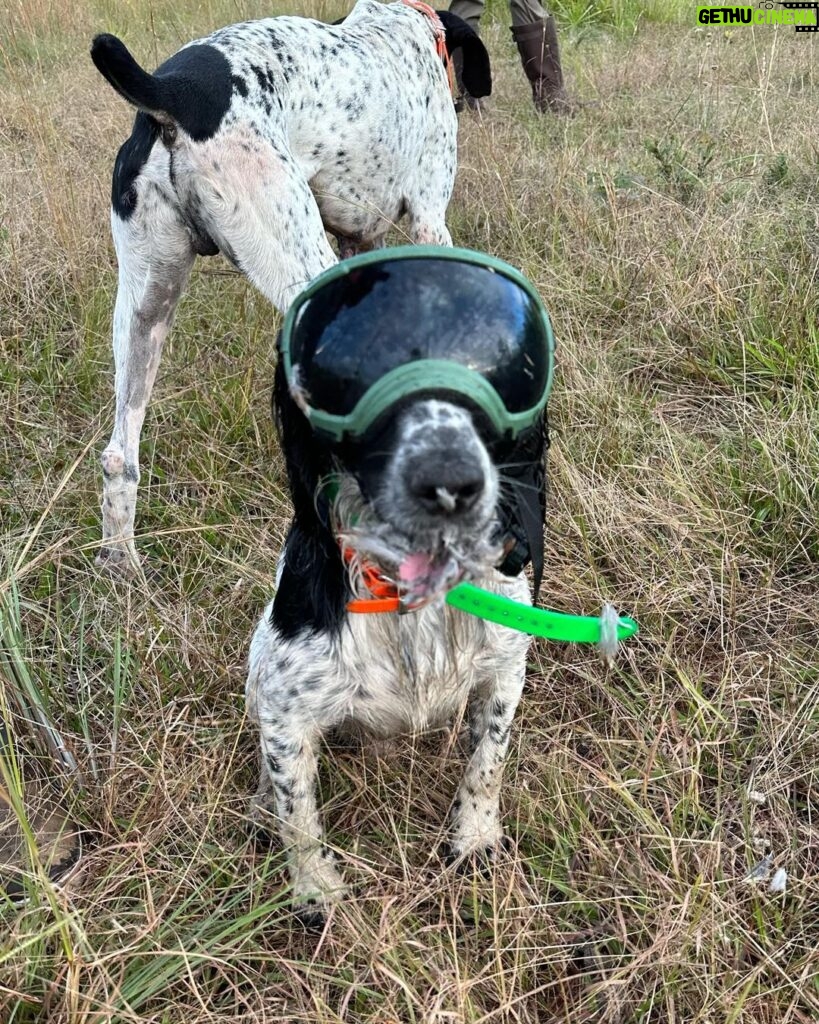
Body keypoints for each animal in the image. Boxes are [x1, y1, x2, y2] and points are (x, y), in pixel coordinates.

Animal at [88, 0, 489, 569]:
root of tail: (172, 93)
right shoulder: (430, 221)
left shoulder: (358, 243)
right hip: (298, 260)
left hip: (146, 308)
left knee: (119, 454)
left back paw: (121, 567)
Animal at [243, 243, 548, 925]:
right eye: (350, 366)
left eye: (502, 361)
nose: (448, 481)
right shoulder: (283, 710)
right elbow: (298, 814)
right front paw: (315, 889)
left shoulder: (506, 670)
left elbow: (487, 761)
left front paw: (474, 836)